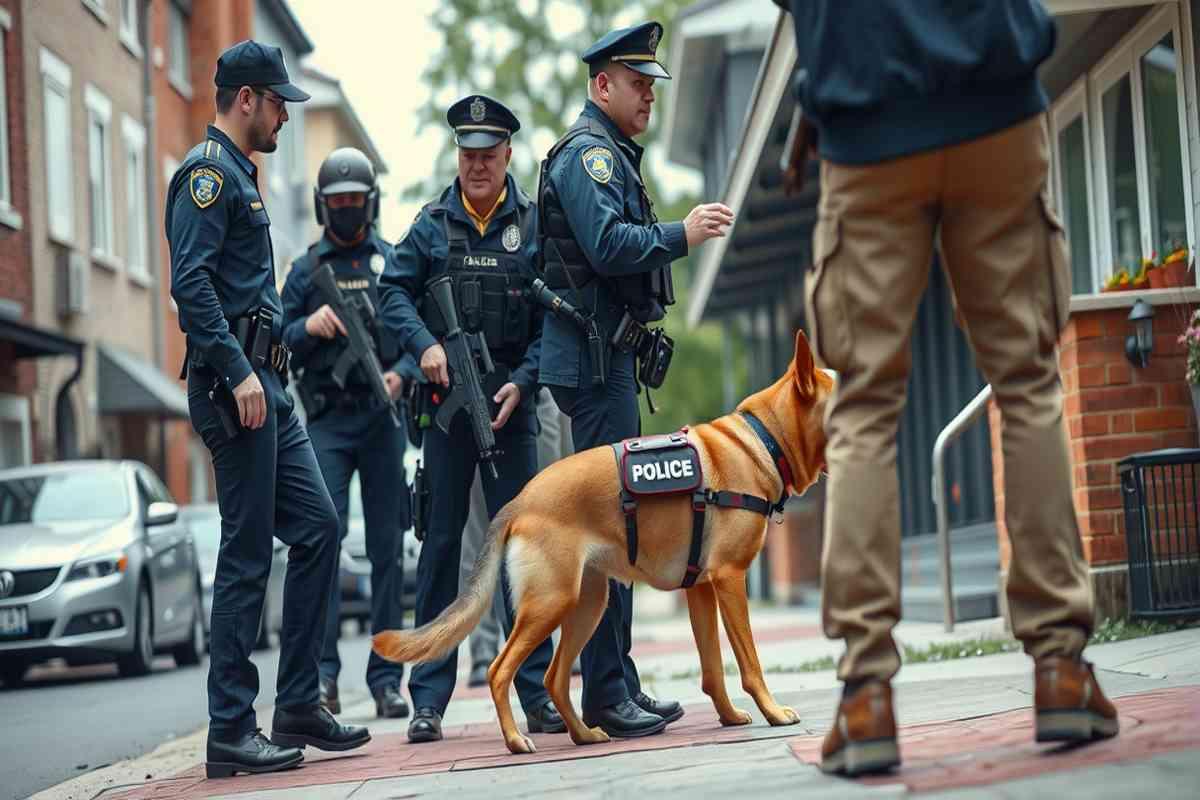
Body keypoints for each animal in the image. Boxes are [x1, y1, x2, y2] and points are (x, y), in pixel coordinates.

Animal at [374, 328, 835, 753]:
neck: (763, 439)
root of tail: (520, 500)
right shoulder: (729, 580)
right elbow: (750, 663)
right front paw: (772, 712)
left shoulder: (702, 590)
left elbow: (712, 670)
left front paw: (728, 716)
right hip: (550, 603)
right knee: (500, 670)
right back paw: (515, 740)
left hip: (586, 605)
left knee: (554, 677)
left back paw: (583, 734)